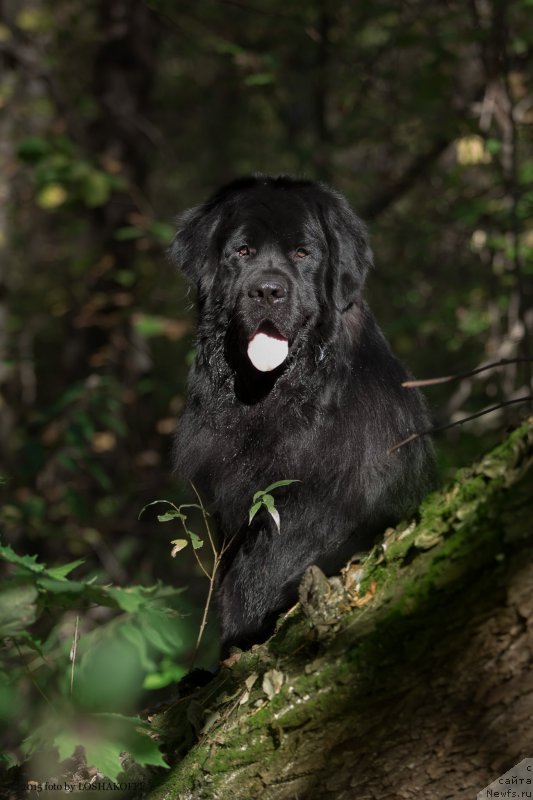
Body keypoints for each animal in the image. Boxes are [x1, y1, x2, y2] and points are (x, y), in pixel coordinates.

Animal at [168, 173, 434, 648]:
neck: (274, 398)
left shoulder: (324, 499)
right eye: (242, 252)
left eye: (302, 253)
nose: (268, 291)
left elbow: (269, 567)